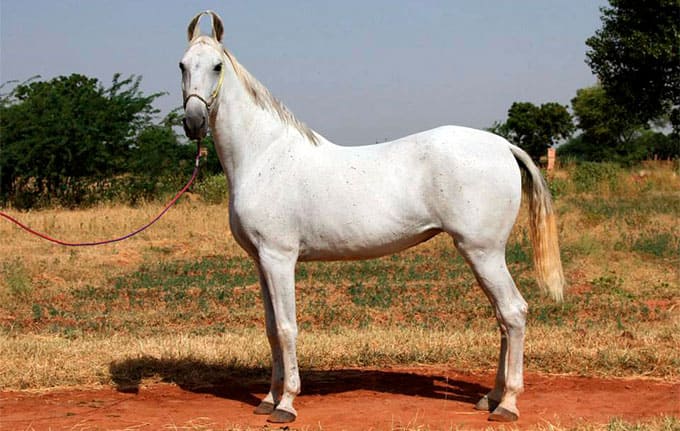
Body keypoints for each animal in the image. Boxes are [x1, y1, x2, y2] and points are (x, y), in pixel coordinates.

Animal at [179, 11, 564, 426]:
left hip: (483, 251)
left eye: (217, 66)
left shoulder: (280, 259)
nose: (194, 122)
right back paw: (489, 398)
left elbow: (286, 328)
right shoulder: (260, 261)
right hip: (483, 256)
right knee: (502, 318)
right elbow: (270, 329)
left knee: (514, 312)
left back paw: (507, 403)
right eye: (182, 65)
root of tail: (503, 146)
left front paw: (286, 404)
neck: (265, 156)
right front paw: (267, 398)